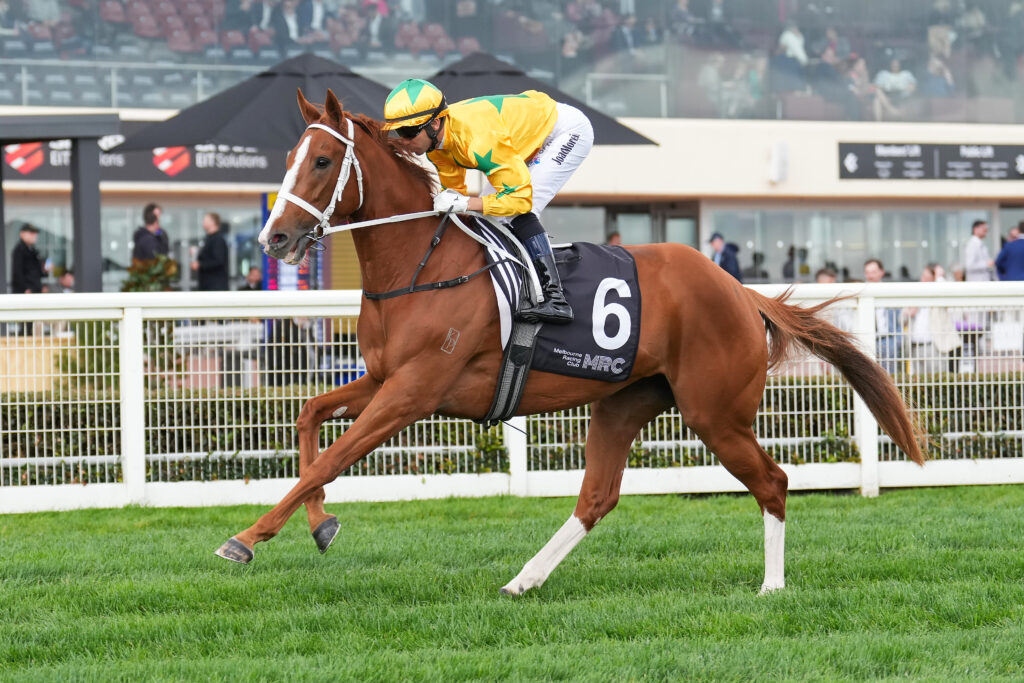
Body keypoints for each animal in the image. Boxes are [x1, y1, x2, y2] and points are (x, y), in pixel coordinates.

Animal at [215, 89, 925, 596]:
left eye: (323, 161)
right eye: (288, 161)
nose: (275, 239)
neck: (422, 263)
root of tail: (740, 292)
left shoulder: (415, 392)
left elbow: (331, 459)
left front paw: (247, 536)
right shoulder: (387, 379)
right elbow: (310, 418)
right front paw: (321, 524)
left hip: (715, 411)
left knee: (773, 481)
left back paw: (771, 587)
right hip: (625, 401)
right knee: (597, 497)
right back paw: (523, 580)